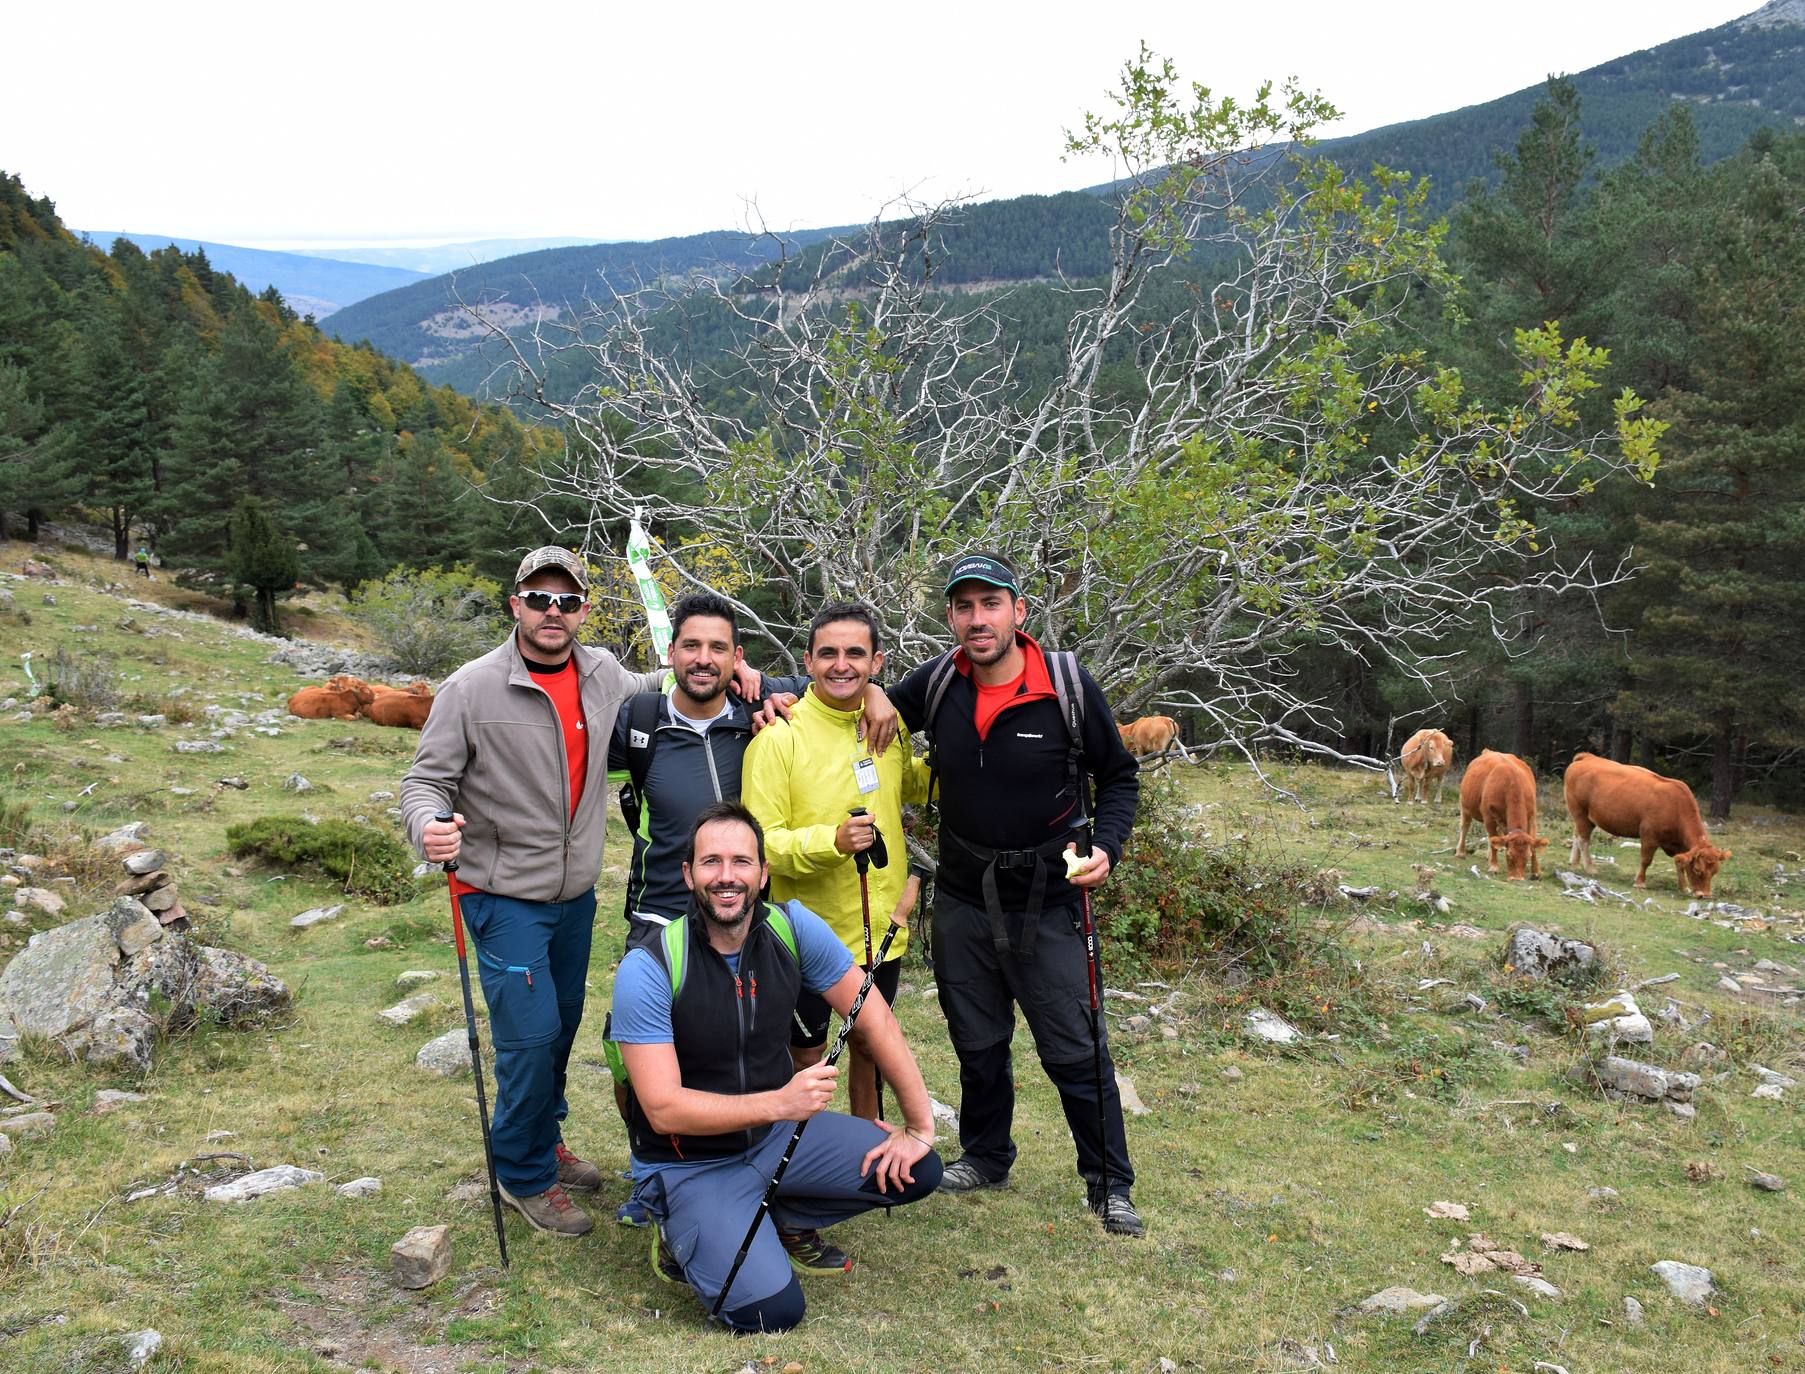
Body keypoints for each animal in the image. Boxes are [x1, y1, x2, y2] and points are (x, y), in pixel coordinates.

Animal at [1559, 751, 1725, 899]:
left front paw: (1683, 888)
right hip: (1580, 813)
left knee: (1577, 835)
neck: (1675, 807)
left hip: (1584, 817)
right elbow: (1646, 860)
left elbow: (1680, 863)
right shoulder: (1649, 836)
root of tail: (1586, 757)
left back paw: (1574, 863)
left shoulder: (1679, 846)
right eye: (1697, 870)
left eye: (1715, 871)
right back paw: (1590, 868)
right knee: (1583, 840)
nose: (1703, 895)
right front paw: (1640, 882)